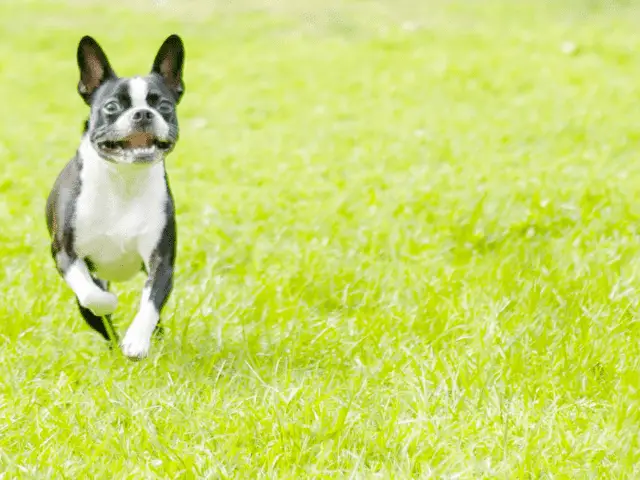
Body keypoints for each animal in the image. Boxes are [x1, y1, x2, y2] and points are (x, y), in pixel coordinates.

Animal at [44, 35, 185, 358]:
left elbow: (151, 302)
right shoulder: (65, 253)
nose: (143, 113)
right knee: (100, 320)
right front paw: (107, 303)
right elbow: (91, 296)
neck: (124, 180)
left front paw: (137, 340)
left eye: (164, 105)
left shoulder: (161, 260)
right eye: (111, 106)